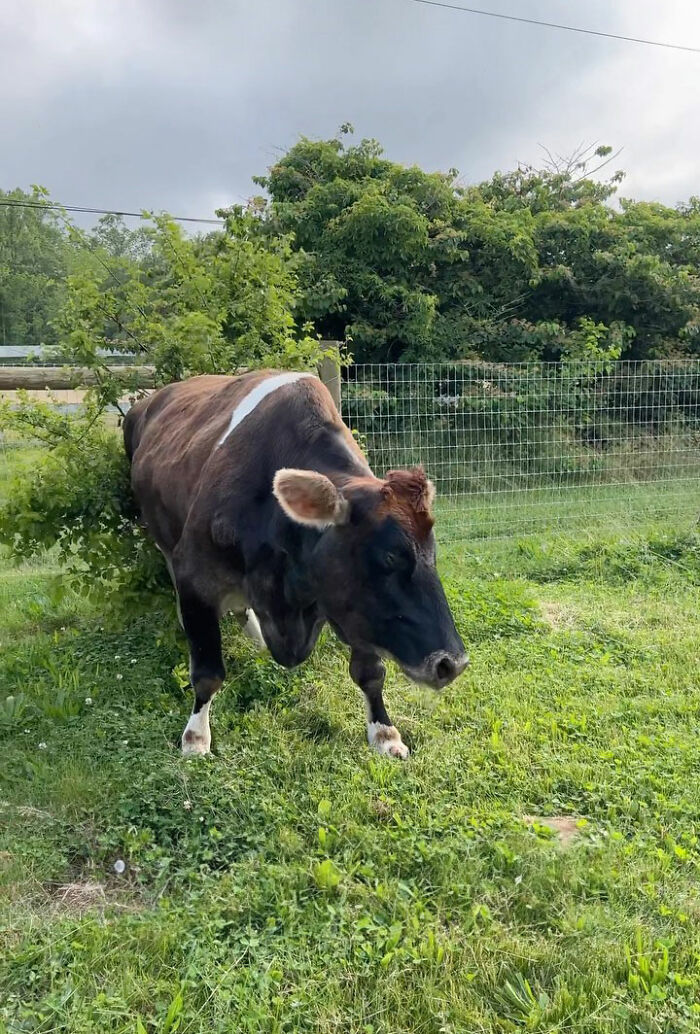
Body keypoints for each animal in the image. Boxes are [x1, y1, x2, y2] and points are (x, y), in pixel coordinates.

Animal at [123, 371, 468, 759]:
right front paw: (196, 737)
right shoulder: (194, 574)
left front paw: (385, 732)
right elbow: (208, 672)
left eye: (432, 553)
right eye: (390, 556)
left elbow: (370, 672)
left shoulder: (350, 604)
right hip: (160, 536)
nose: (452, 664)